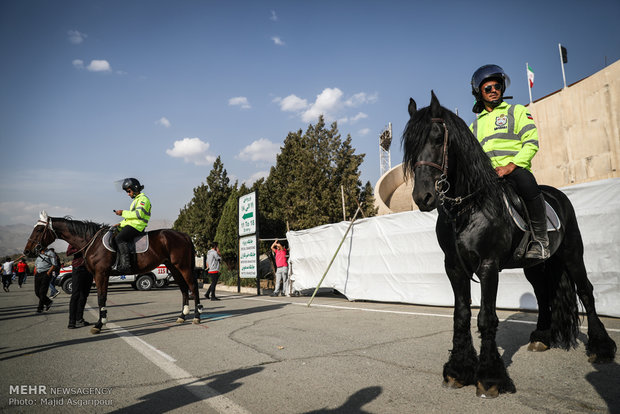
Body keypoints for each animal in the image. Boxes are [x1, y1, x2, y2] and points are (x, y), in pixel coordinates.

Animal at [23, 212, 203, 334]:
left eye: (39, 229)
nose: (27, 251)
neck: (92, 241)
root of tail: (184, 235)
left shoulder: (101, 274)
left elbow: (101, 298)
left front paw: (99, 324)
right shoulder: (99, 275)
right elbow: (101, 297)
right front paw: (101, 322)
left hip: (183, 267)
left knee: (193, 287)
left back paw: (197, 316)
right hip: (173, 267)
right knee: (183, 289)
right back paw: (182, 316)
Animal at [402, 91, 616, 398]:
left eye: (437, 138)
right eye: (410, 145)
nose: (424, 197)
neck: (468, 208)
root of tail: (557, 195)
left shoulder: (488, 266)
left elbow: (486, 318)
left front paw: (490, 377)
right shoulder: (454, 267)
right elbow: (461, 315)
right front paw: (459, 370)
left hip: (573, 254)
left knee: (586, 291)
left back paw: (601, 348)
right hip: (535, 266)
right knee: (543, 295)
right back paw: (541, 337)